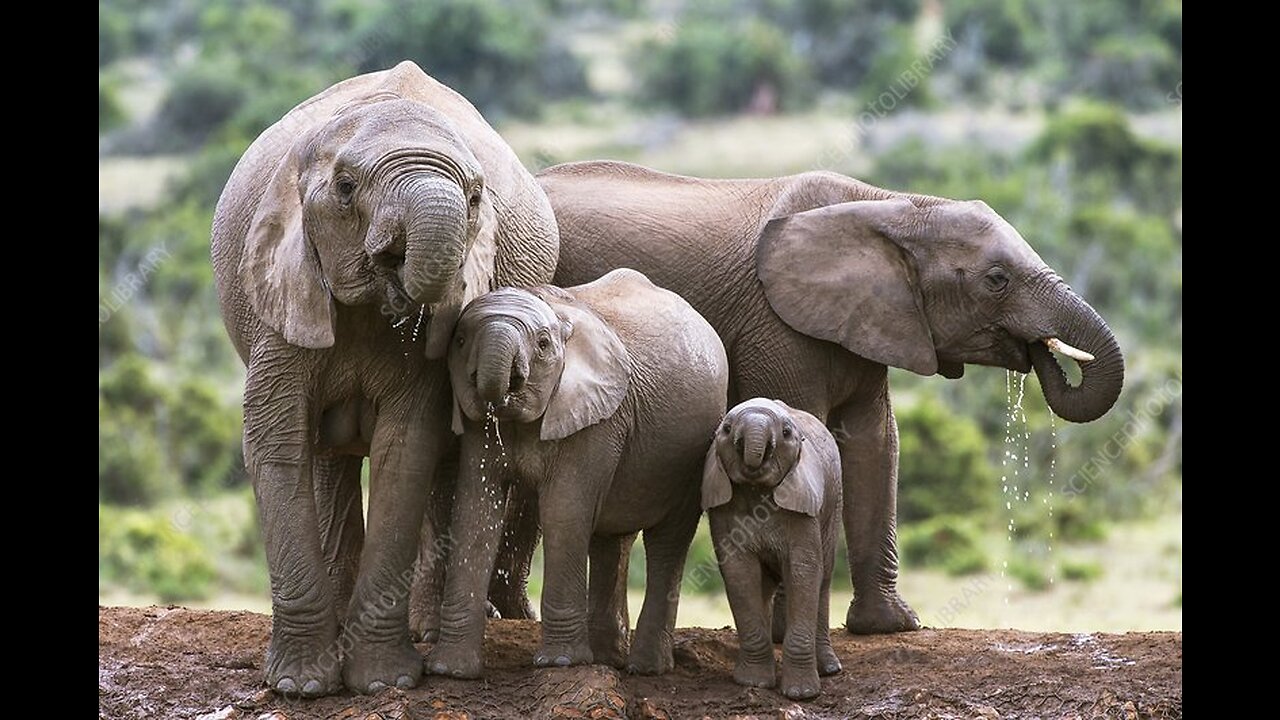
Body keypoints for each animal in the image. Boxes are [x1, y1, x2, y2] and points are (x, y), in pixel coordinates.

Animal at [212, 63, 558, 696]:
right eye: (347, 188)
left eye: (476, 197)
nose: (397, 266)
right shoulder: (283, 292)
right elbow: (277, 443)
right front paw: (301, 687)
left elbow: (408, 446)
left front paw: (382, 684)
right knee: (326, 457)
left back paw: (423, 629)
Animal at [427, 267, 732, 671]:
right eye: (460, 340)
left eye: (542, 345)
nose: (501, 392)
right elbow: (476, 510)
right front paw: (450, 669)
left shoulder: (598, 418)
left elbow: (564, 510)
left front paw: (559, 663)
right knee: (611, 539)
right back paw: (606, 659)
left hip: (692, 456)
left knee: (667, 542)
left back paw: (645, 667)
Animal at [540, 159, 1121, 630]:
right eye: (997, 279)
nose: (1040, 352)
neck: (893, 206)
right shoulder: (776, 323)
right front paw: (785, 633)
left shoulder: (869, 318)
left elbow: (875, 442)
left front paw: (889, 627)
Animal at [701, 394, 839, 696]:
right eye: (726, 429)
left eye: (786, 433)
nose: (754, 453)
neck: (758, 489)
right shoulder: (725, 510)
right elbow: (739, 572)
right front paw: (753, 683)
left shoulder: (803, 505)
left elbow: (804, 570)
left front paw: (802, 694)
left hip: (833, 505)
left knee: (823, 580)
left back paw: (830, 669)